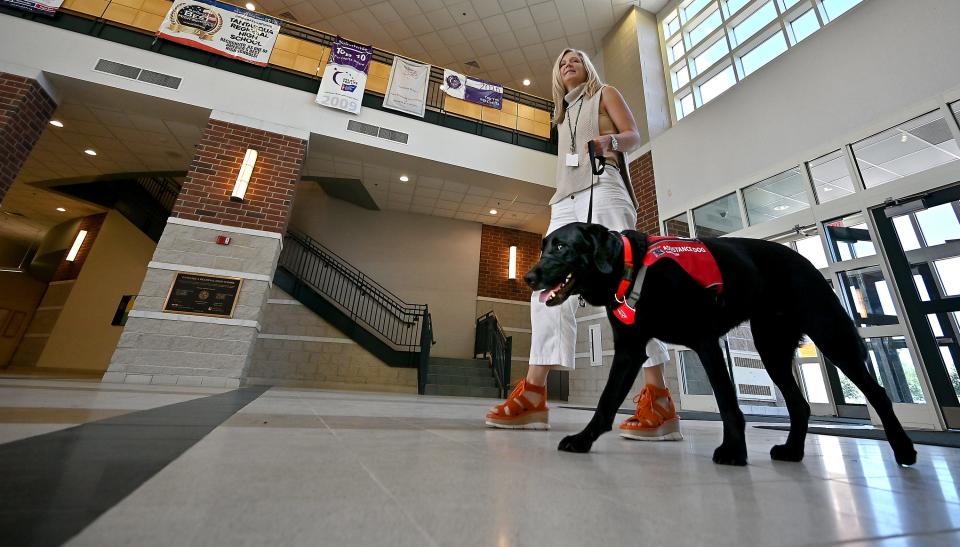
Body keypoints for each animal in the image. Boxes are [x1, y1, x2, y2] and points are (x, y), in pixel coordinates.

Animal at [524, 223, 916, 466]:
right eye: (543, 247)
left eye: (561, 246)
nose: (528, 276)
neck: (630, 267)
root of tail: (802, 257)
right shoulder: (629, 351)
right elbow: (606, 402)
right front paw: (583, 439)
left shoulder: (705, 342)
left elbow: (728, 403)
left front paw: (733, 451)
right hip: (772, 350)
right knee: (800, 405)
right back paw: (792, 451)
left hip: (830, 336)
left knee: (877, 392)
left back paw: (904, 449)